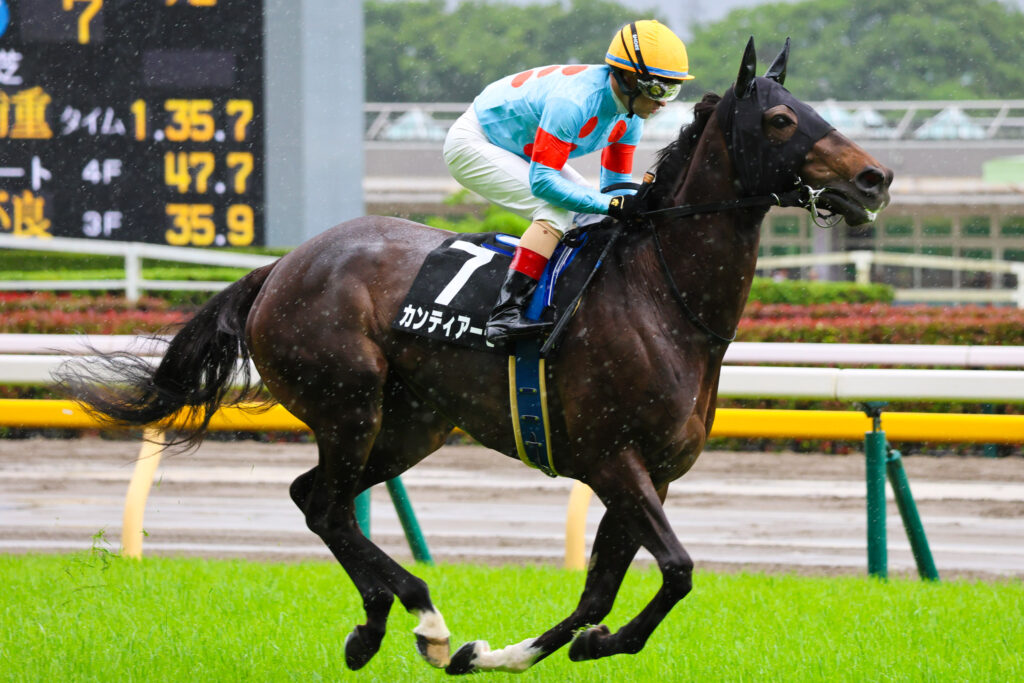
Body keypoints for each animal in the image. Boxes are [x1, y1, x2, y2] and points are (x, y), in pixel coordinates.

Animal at [58, 38, 892, 674]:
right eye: (781, 118)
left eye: (818, 111)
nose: (874, 177)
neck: (662, 298)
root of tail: (282, 266)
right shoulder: (613, 459)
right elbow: (678, 570)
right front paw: (575, 643)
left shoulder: (649, 472)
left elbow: (601, 589)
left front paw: (515, 651)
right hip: (350, 400)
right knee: (326, 502)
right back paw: (420, 616)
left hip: (413, 424)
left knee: (316, 497)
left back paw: (382, 626)